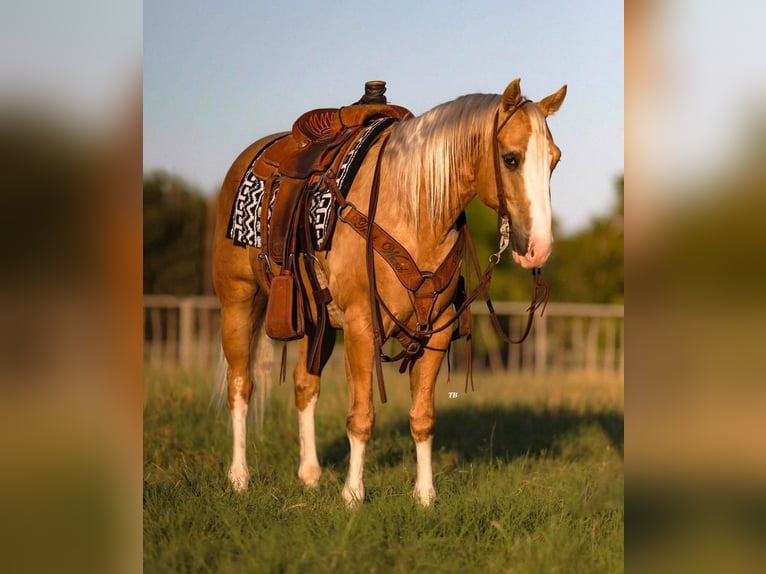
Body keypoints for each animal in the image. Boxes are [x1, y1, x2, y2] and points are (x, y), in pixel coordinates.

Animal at [213, 77, 568, 508]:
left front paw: (425, 495)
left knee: (304, 385)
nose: (539, 247)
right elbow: (361, 416)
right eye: (511, 158)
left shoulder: (437, 330)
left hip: (317, 323)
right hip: (238, 302)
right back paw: (239, 476)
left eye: (554, 160)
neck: (412, 210)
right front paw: (353, 495)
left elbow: (423, 417)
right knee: (240, 386)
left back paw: (310, 474)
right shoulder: (362, 326)